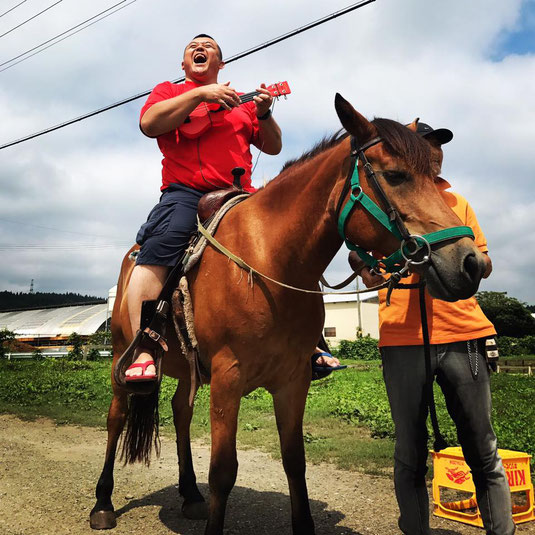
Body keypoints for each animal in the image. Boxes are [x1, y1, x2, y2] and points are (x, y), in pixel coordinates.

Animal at [90, 96, 488, 535]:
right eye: (396, 176)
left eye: (436, 177)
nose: (470, 263)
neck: (269, 257)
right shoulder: (228, 378)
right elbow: (223, 471)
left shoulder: (293, 380)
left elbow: (295, 462)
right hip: (122, 358)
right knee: (115, 418)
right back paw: (104, 502)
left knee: (180, 412)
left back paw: (191, 494)